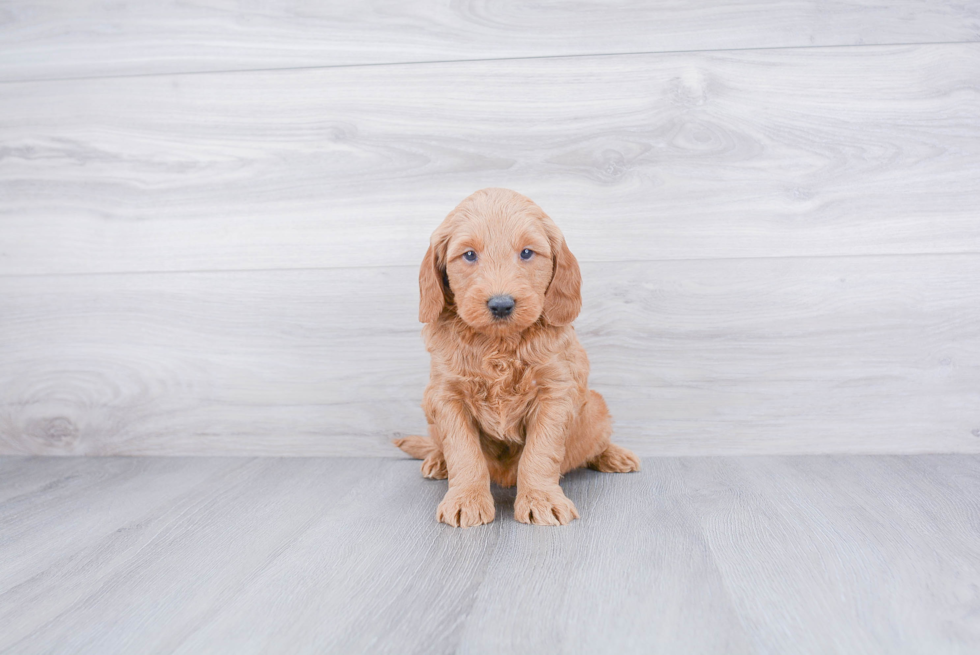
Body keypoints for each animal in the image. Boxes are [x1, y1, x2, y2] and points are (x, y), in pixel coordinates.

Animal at [394, 186, 640, 528]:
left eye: (526, 253)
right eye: (469, 255)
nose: (501, 304)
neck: (499, 345)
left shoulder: (555, 393)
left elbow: (541, 451)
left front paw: (541, 499)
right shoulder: (446, 396)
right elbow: (463, 451)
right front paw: (466, 499)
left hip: (596, 408)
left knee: (596, 440)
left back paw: (613, 454)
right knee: (439, 445)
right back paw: (437, 461)